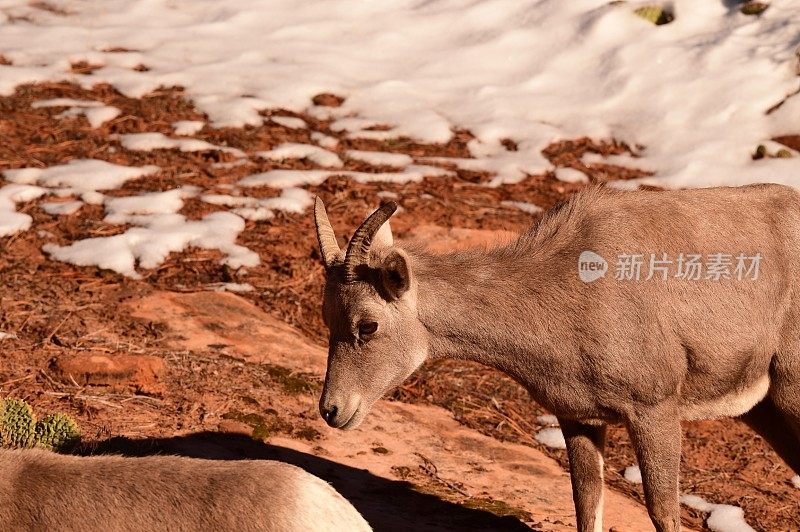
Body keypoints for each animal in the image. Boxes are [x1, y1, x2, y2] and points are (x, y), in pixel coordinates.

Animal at [312, 184, 800, 532]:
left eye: (368, 325)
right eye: (327, 317)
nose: (332, 410)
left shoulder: (654, 410)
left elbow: (663, 513)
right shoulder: (580, 418)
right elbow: (587, 507)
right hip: (766, 411)